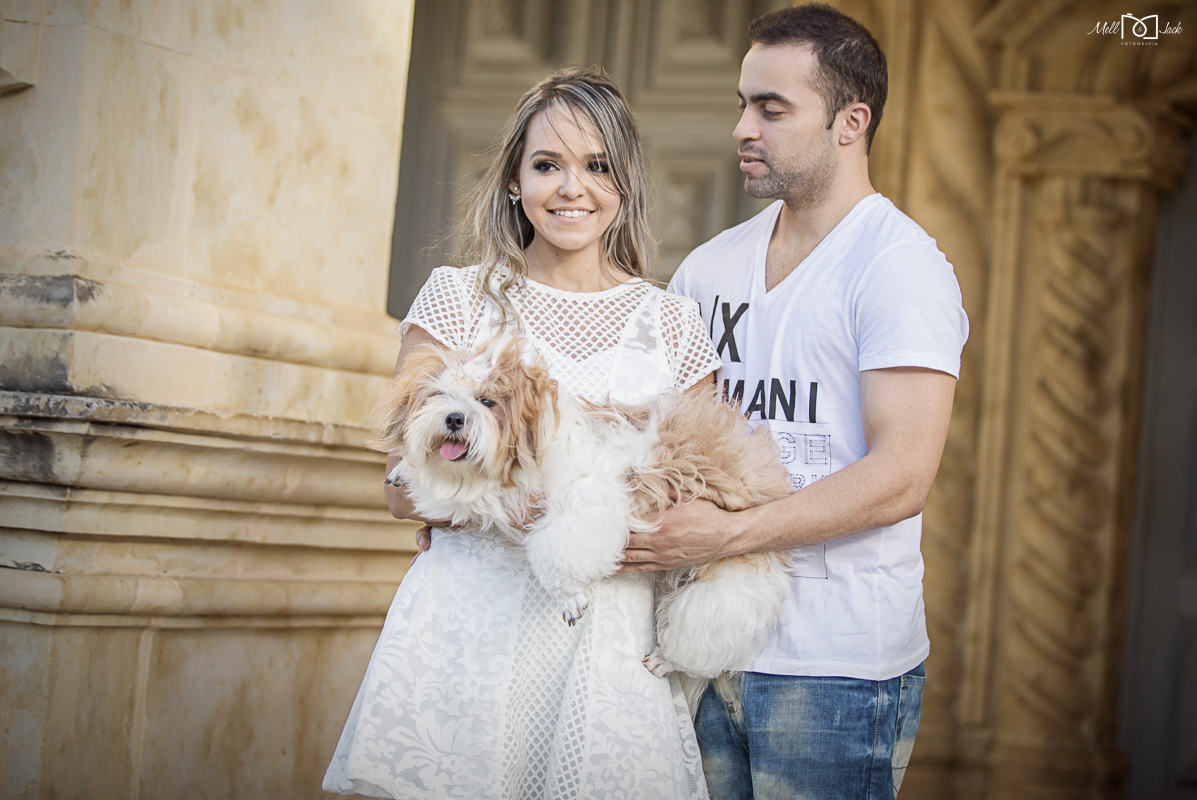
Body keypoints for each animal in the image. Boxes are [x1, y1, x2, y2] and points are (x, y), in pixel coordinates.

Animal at [373, 333, 793, 683]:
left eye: (487, 401)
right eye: (439, 396)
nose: (454, 418)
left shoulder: (592, 499)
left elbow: (559, 549)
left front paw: (568, 596)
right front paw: (406, 470)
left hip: (721, 593)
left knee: (700, 640)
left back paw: (665, 659)